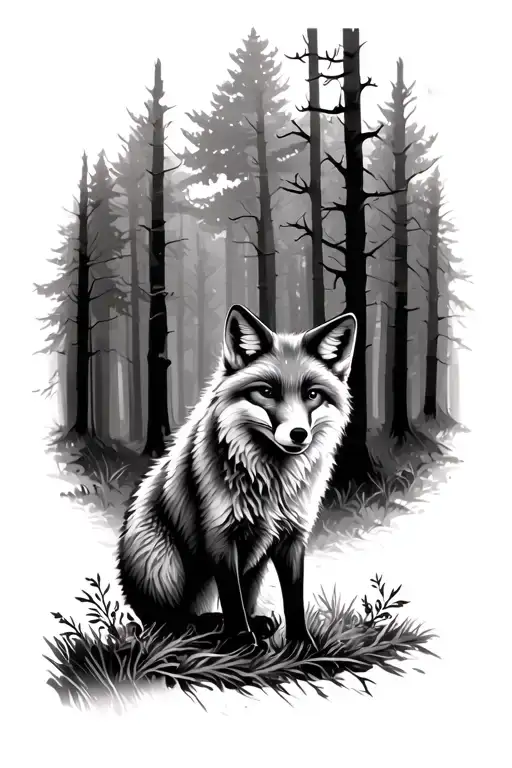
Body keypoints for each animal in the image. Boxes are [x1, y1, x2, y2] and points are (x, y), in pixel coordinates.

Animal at [117, 303, 357, 649]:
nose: (299, 434)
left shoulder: (293, 537)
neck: (272, 484)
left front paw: (302, 643)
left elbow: (293, 598)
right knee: (166, 623)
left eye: (312, 394)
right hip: (162, 561)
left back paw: (249, 624)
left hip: (255, 568)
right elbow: (232, 597)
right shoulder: (219, 532)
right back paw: (206, 628)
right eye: (266, 392)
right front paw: (241, 640)